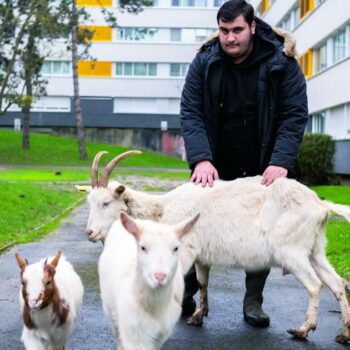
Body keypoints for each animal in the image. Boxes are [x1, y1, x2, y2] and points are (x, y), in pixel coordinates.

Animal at [98, 211, 200, 350]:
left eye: (176, 248)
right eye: (143, 247)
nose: (160, 276)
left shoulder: (161, 334)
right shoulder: (133, 332)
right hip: (111, 312)